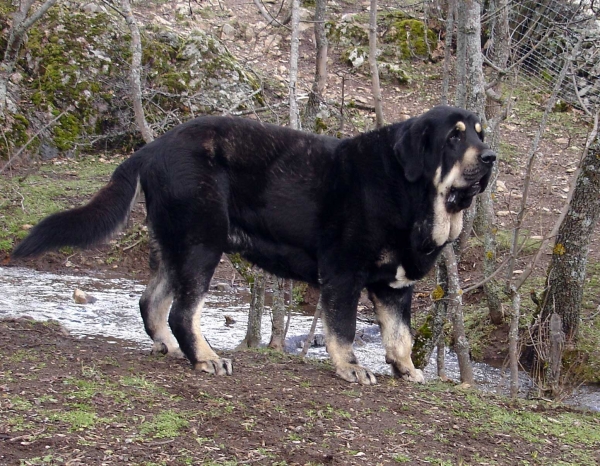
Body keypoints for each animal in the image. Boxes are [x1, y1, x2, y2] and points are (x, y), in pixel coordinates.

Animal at [12, 106, 496, 386]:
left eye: (480, 133)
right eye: (454, 137)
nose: (491, 157)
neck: (405, 189)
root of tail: (150, 149)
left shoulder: (394, 287)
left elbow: (400, 336)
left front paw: (407, 370)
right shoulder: (343, 274)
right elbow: (342, 330)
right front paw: (350, 368)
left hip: (176, 246)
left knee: (151, 302)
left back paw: (170, 348)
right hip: (202, 244)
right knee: (182, 312)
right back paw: (205, 358)